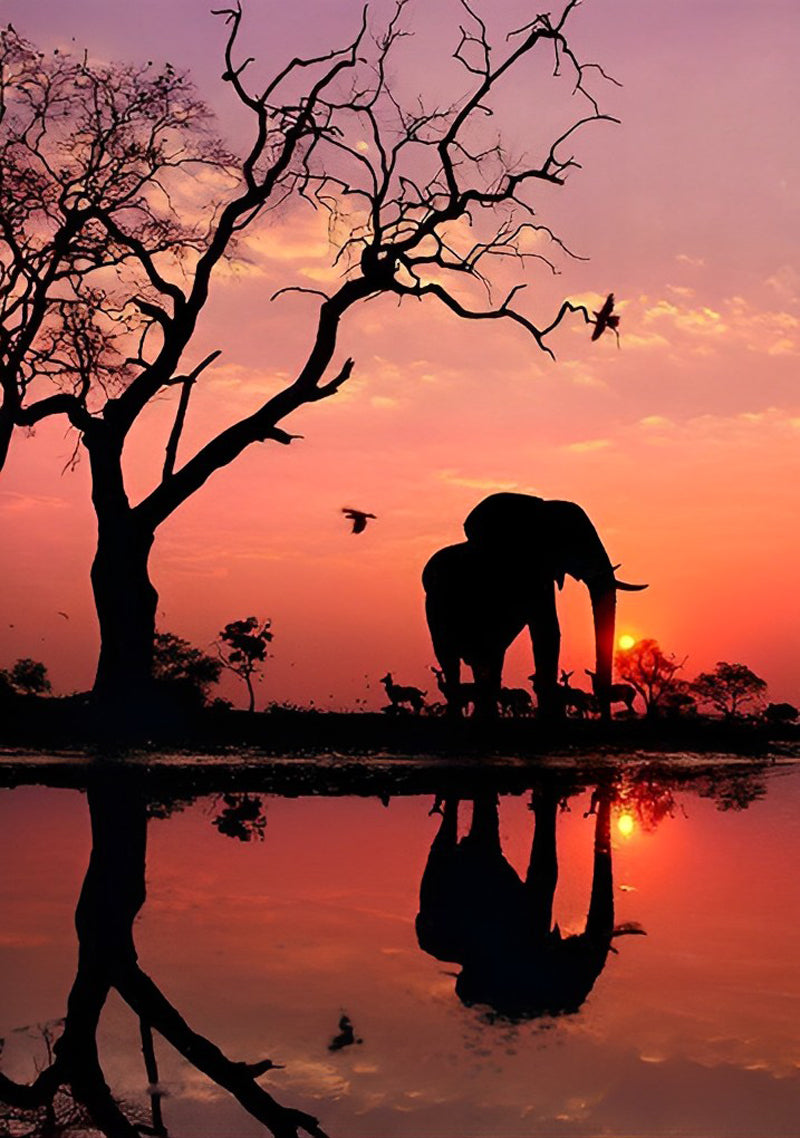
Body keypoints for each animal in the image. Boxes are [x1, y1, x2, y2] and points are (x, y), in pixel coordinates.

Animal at [422, 492, 646, 718]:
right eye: (569, 536)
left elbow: (548, 631)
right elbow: (545, 630)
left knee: (489, 660)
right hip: (435, 611)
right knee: (451, 661)